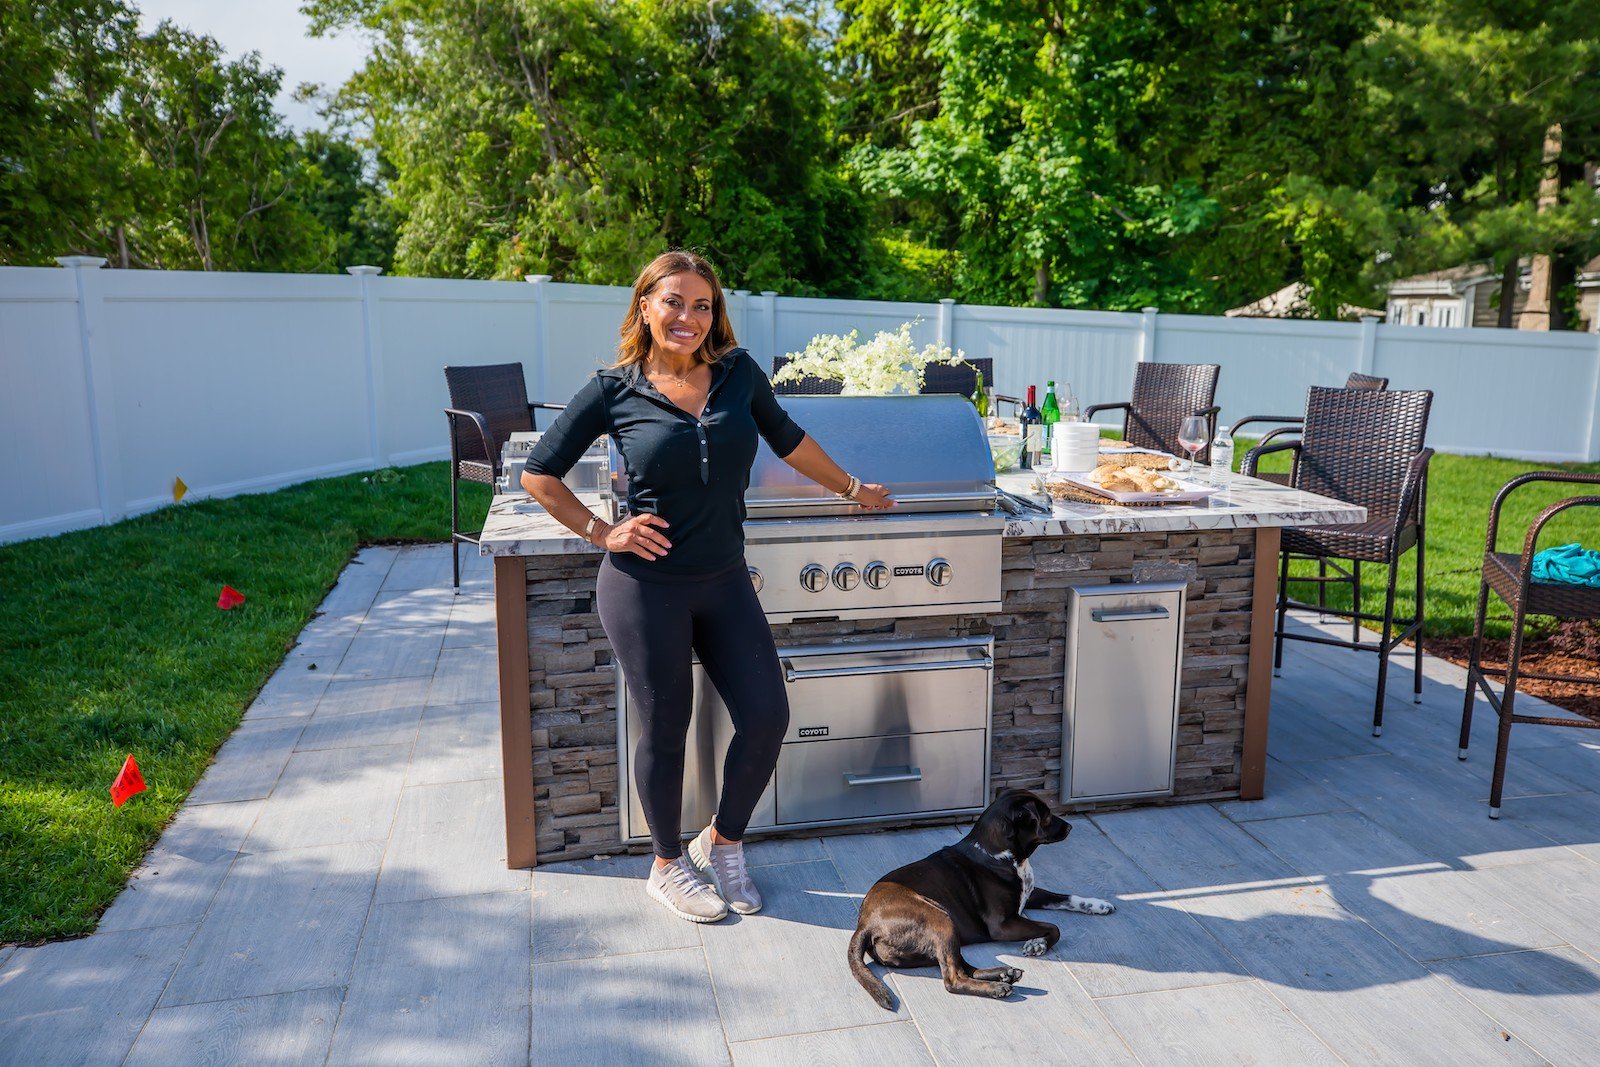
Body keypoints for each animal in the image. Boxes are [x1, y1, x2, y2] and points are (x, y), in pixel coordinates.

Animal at [851, 783, 1113, 1011]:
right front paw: (1038, 943)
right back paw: (996, 988)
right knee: (953, 979)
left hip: (942, 934)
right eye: (1046, 815)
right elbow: (1054, 927)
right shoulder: (1003, 925)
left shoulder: (1028, 894)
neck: (999, 854)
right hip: (939, 918)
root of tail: (865, 925)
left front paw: (1098, 905)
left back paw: (1004, 974)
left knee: (961, 966)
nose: (1070, 827)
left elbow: (1066, 897)